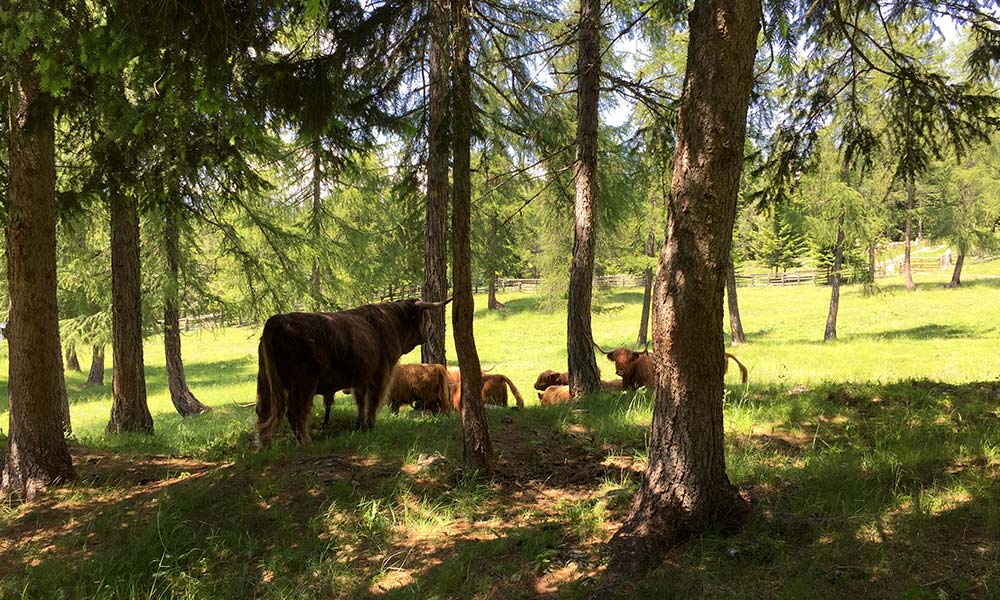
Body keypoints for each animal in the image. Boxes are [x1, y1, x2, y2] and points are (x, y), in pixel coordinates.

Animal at [254, 298, 450, 446]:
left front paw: (359, 425)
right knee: (296, 413)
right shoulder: (380, 374)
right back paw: (306, 442)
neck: (392, 322)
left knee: (263, 412)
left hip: (265, 381)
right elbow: (372, 402)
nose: (429, 332)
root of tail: (277, 320)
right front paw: (370, 426)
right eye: (425, 318)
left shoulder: (360, 378)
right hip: (304, 382)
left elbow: (360, 402)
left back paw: (265, 445)